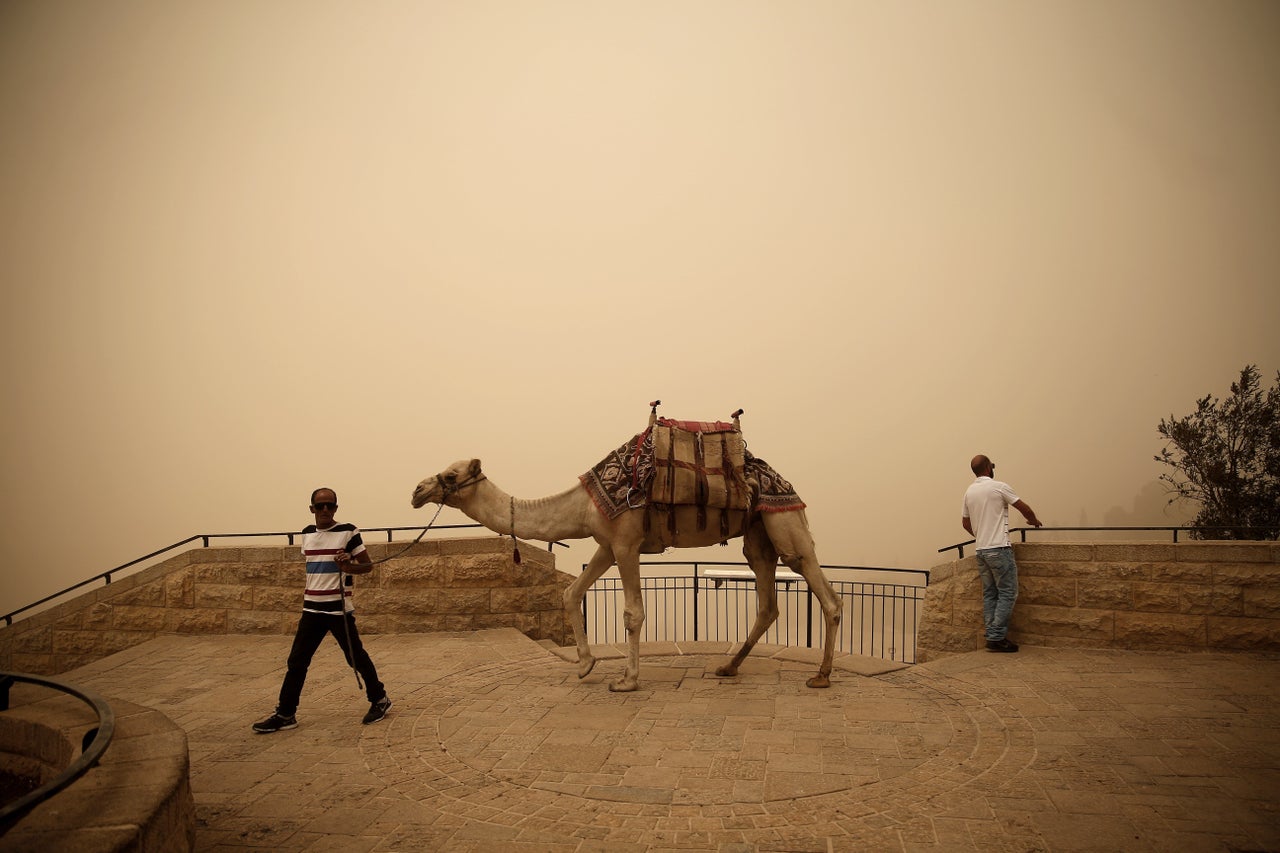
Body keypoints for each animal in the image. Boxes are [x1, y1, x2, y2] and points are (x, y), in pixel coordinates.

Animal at [409, 458, 844, 691]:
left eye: (451, 475)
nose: (417, 490)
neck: (583, 504)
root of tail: (785, 483)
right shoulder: (606, 544)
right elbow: (571, 593)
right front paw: (585, 664)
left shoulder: (626, 543)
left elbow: (633, 613)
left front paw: (627, 680)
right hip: (757, 532)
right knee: (767, 599)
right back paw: (728, 667)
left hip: (785, 520)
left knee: (822, 588)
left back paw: (821, 676)